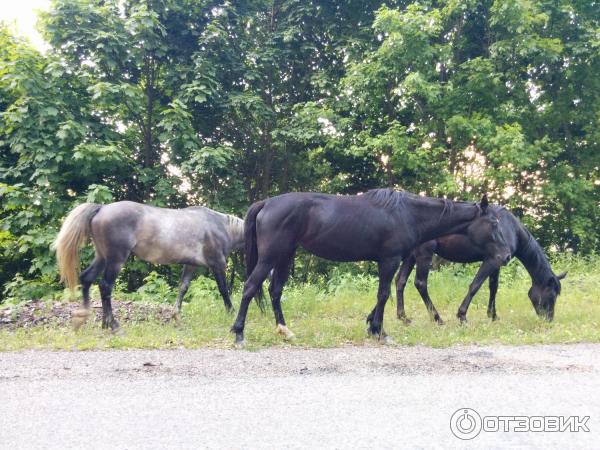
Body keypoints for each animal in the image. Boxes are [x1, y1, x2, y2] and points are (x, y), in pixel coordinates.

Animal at [52, 202, 244, 328]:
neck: (222, 227)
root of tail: (102, 208)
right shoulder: (217, 263)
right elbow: (224, 290)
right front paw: (231, 313)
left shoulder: (191, 266)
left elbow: (183, 288)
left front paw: (176, 316)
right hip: (115, 259)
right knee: (105, 286)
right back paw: (112, 324)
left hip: (102, 257)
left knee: (87, 278)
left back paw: (89, 319)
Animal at [230, 188, 496, 346]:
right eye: (493, 222)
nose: (500, 255)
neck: (407, 214)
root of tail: (266, 203)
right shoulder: (389, 259)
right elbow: (384, 294)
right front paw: (380, 332)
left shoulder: (391, 261)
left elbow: (383, 294)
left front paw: (372, 326)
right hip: (270, 257)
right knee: (250, 287)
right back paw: (239, 334)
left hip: (285, 256)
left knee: (275, 291)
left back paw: (285, 331)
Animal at [396, 206, 564, 326]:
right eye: (551, 295)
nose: (549, 320)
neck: (511, 229)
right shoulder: (491, 260)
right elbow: (475, 286)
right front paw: (462, 316)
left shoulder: (498, 262)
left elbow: (493, 287)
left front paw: (493, 315)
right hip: (424, 253)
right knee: (420, 284)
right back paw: (437, 318)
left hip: (411, 255)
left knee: (400, 281)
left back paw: (403, 317)